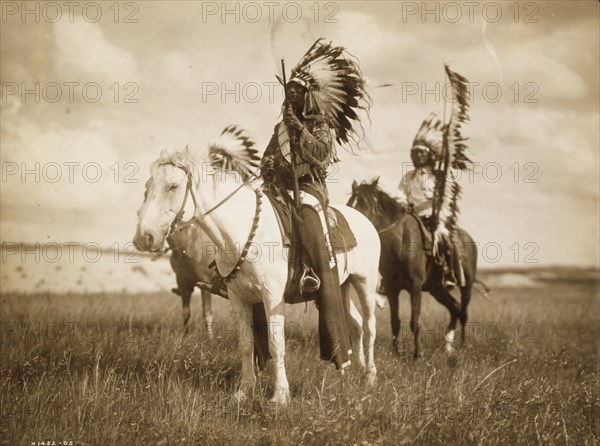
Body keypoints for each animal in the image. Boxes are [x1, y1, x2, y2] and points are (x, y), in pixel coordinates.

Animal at [134, 145, 382, 404]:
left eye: (173, 186)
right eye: (148, 186)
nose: (144, 237)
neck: (242, 231)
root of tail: (364, 220)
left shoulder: (272, 297)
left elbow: (276, 343)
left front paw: (280, 396)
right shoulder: (239, 299)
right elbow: (246, 344)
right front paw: (244, 391)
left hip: (364, 283)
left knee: (369, 326)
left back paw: (370, 376)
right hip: (343, 286)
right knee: (355, 324)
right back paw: (354, 368)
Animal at [346, 179, 488, 358]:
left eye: (365, 204)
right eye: (349, 204)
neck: (400, 242)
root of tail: (468, 239)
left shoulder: (415, 286)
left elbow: (415, 321)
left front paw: (417, 354)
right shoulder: (392, 288)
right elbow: (395, 321)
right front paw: (397, 354)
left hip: (466, 286)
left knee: (463, 313)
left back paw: (462, 345)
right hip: (437, 290)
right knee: (455, 308)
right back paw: (448, 347)